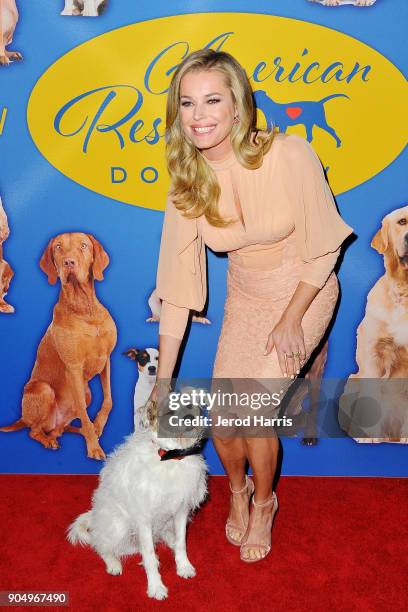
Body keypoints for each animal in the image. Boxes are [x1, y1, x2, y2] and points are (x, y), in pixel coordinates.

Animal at [67, 394, 207, 600]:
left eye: (189, 405)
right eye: (170, 410)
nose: (189, 418)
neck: (170, 459)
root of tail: (95, 516)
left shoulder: (181, 510)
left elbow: (182, 543)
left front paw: (183, 566)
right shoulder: (144, 519)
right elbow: (147, 554)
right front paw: (156, 587)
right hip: (120, 525)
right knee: (101, 544)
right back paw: (113, 563)